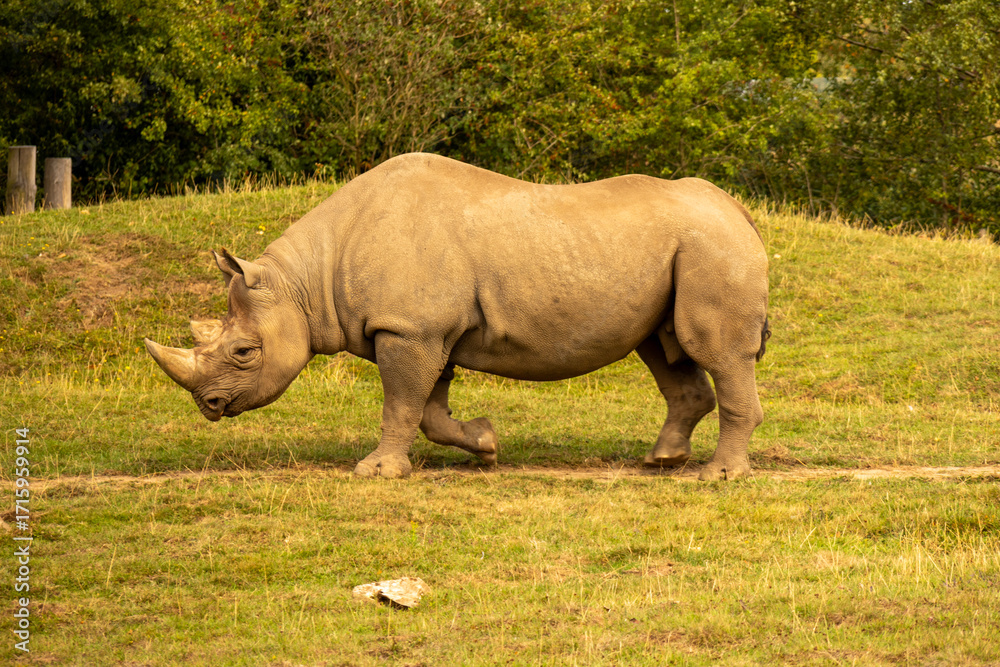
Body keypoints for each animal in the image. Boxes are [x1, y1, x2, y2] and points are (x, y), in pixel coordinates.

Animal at [145, 153, 770, 481]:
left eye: (244, 352)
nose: (210, 406)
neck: (306, 282)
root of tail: (737, 208)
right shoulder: (424, 328)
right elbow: (428, 409)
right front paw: (487, 443)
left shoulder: (408, 328)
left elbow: (402, 402)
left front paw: (376, 473)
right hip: (688, 249)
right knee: (664, 348)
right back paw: (663, 461)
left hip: (713, 248)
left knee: (711, 349)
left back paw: (718, 477)